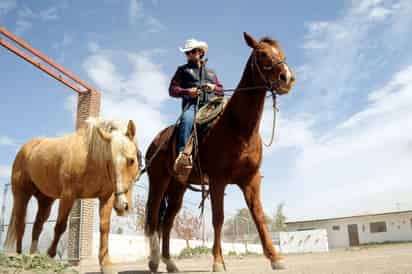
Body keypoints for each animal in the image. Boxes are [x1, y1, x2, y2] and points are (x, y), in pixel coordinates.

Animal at [3, 117, 142, 268]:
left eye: (131, 160)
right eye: (110, 162)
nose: (123, 206)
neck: (91, 157)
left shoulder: (106, 197)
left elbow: (104, 227)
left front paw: (106, 263)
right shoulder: (68, 196)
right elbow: (60, 226)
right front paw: (50, 255)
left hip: (46, 200)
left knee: (37, 226)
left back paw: (34, 256)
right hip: (21, 194)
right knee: (20, 224)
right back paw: (19, 256)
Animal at [145, 32, 296, 272]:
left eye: (281, 53)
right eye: (262, 53)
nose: (287, 78)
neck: (237, 127)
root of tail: (155, 142)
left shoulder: (251, 179)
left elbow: (259, 216)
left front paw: (275, 258)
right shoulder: (217, 180)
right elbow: (218, 218)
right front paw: (217, 261)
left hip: (177, 187)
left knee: (167, 221)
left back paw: (170, 263)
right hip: (159, 181)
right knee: (153, 217)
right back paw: (153, 261)